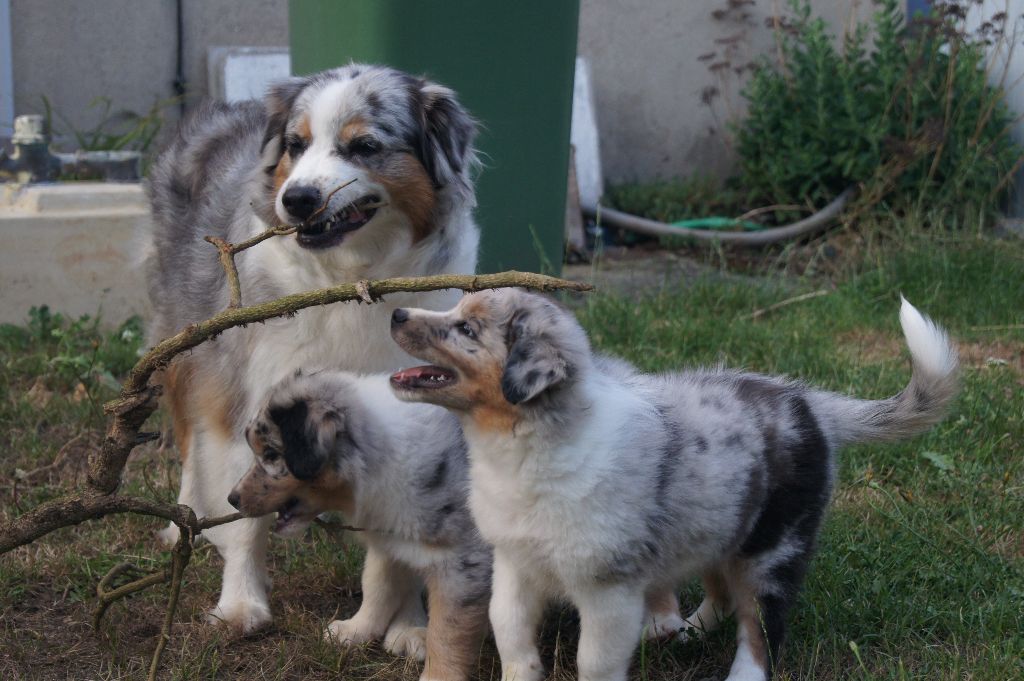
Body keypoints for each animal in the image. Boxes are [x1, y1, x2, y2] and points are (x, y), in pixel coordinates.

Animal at [229, 368, 491, 679]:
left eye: (270, 455)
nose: (232, 499)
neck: (381, 455)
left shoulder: (462, 563)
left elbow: (447, 633)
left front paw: (438, 675)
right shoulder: (391, 537)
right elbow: (377, 584)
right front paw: (356, 631)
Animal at [385, 288, 958, 679]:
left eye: (466, 330)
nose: (396, 313)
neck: (522, 446)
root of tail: (808, 402)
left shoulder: (607, 589)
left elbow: (594, 661)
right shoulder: (515, 563)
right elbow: (510, 636)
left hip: (775, 546)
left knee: (760, 627)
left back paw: (739, 672)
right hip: (719, 523)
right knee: (723, 593)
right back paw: (685, 632)